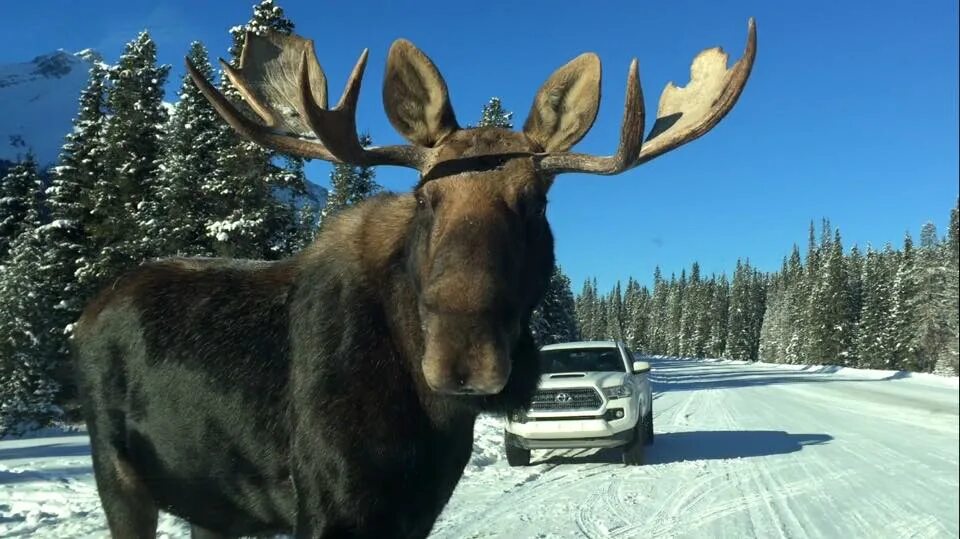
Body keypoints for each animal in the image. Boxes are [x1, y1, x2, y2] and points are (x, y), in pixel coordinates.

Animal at [73, 16, 756, 539]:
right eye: (425, 199)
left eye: (535, 203)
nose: (464, 359)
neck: (423, 424)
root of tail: (87, 312)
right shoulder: (328, 508)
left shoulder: (415, 509)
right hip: (119, 476)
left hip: (211, 504)